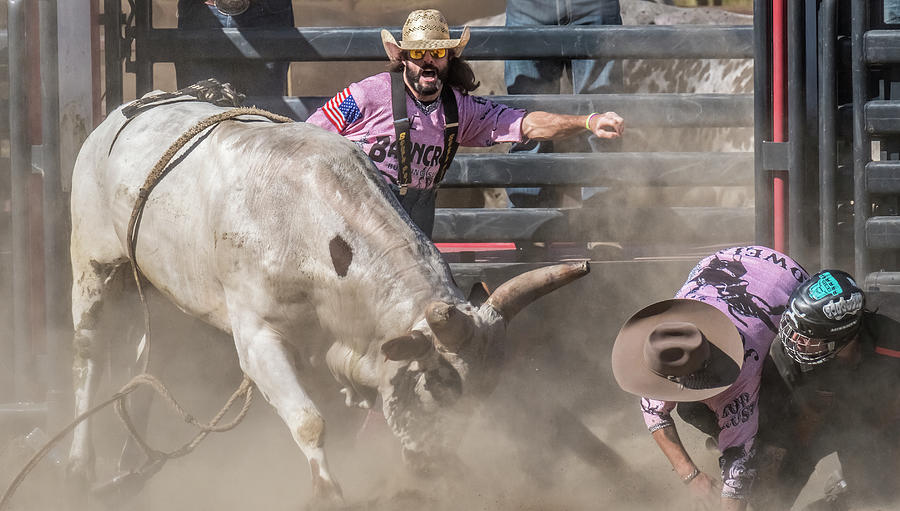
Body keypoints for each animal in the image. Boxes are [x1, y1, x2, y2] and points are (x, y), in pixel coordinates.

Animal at [0, 106, 292, 510]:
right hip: (93, 268)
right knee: (90, 354)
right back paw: (80, 469)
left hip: (155, 297)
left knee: (143, 366)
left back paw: (129, 467)